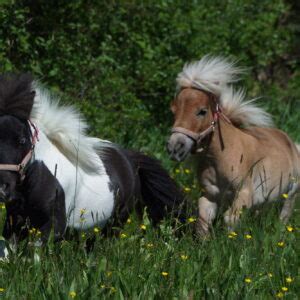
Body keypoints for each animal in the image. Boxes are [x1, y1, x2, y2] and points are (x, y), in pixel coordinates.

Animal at [0, 73, 184, 255]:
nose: (2, 188)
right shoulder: (14, 223)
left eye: (22, 140)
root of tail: (129, 158)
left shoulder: (52, 227)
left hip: (115, 222)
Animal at [166, 55, 300, 234]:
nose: (175, 148)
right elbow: (203, 223)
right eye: (173, 111)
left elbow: (230, 223)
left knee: (283, 219)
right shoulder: (209, 196)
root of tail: (290, 143)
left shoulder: (243, 195)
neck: (223, 156)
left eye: (202, 111)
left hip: (290, 195)